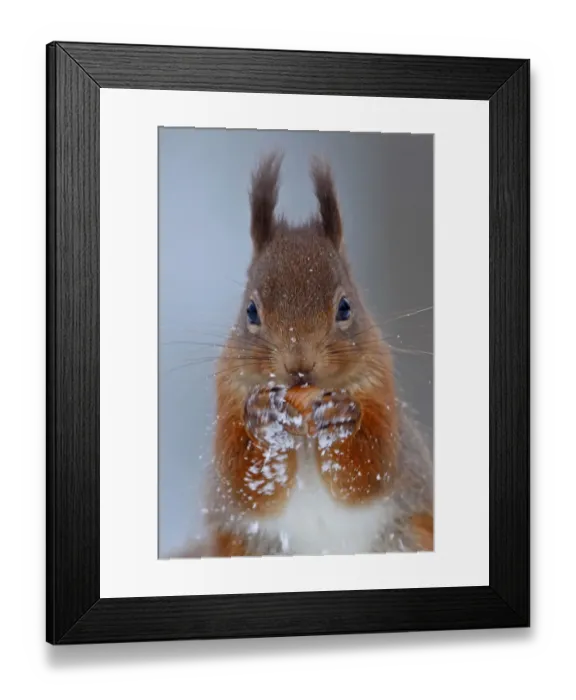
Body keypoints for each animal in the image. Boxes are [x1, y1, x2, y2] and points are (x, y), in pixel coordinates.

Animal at [200, 153, 433, 557]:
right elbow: (241, 481)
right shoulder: (228, 391)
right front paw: (264, 419)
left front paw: (341, 419)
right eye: (251, 311)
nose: (299, 364)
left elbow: (374, 466)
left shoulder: (381, 390)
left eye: (345, 307)